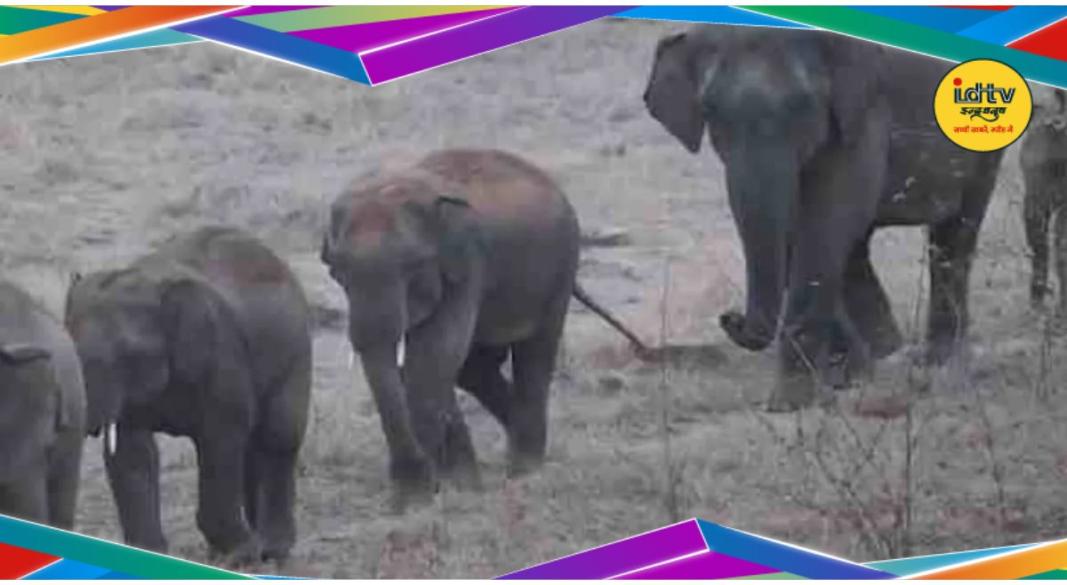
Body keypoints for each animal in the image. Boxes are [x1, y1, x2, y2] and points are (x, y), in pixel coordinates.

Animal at [64, 226, 312, 564]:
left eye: (128, 353)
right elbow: (133, 453)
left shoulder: (221, 354)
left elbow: (220, 441)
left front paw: (239, 555)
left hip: (294, 349)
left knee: (278, 436)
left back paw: (271, 551)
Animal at [321, 148, 647, 509]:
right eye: (338, 270)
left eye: (414, 265)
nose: (407, 493)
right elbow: (428, 363)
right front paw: (457, 487)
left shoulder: (468, 263)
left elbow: (433, 356)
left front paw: (419, 497)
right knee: (474, 367)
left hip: (561, 266)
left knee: (535, 354)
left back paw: (524, 470)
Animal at [644, 25, 1006, 411]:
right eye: (709, 110)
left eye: (802, 105)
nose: (729, 317)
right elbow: (802, 228)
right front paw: (847, 376)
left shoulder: (863, 109)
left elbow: (824, 221)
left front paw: (791, 402)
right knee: (857, 246)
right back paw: (885, 350)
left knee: (955, 232)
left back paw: (937, 360)